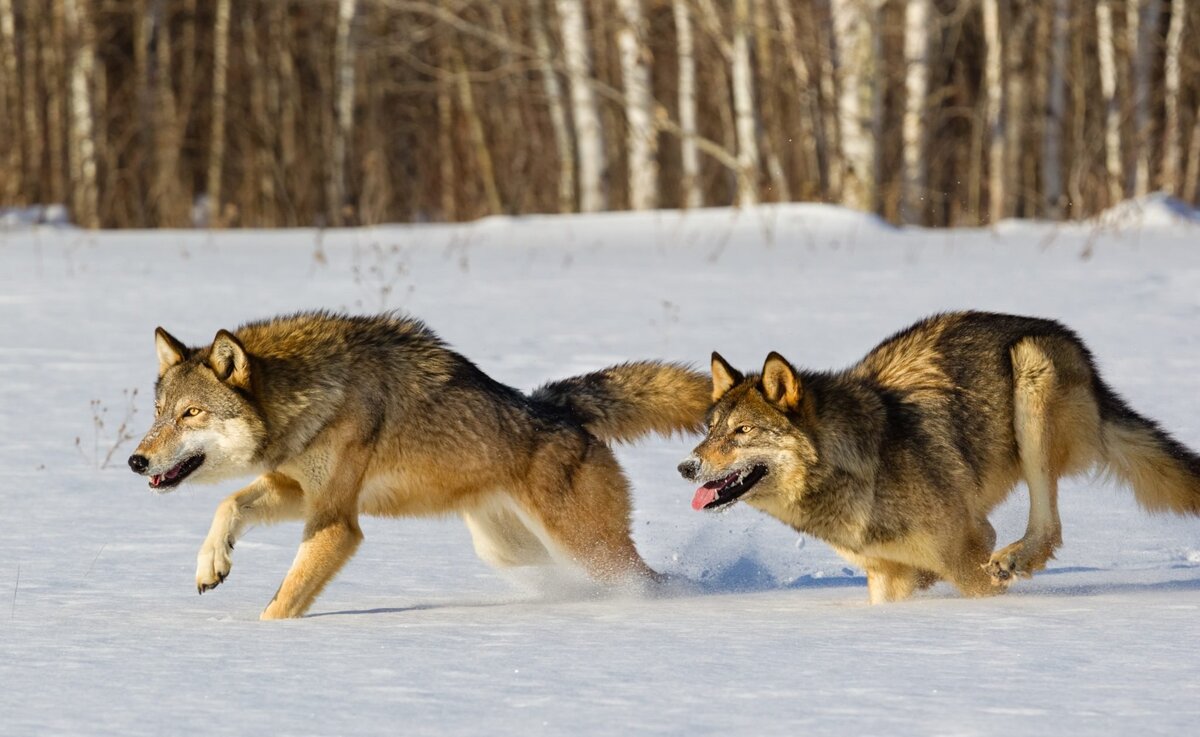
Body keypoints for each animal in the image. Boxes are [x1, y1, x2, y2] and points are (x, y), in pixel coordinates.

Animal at [129, 309, 710, 619]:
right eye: (158, 413)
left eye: (191, 413)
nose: (136, 461)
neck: (311, 396)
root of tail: (558, 406)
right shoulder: (299, 491)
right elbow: (228, 504)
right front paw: (212, 563)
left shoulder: (336, 523)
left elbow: (283, 600)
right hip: (510, 550)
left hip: (584, 547)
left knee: (646, 579)